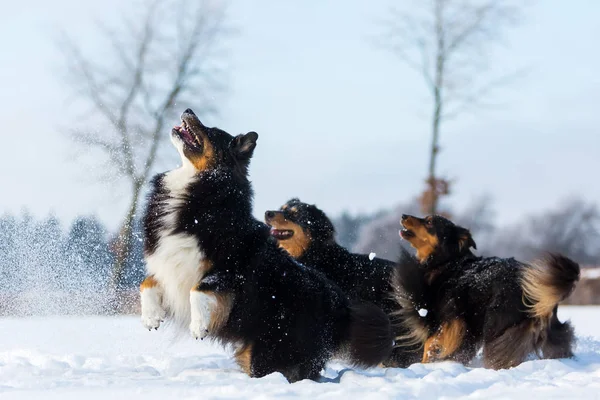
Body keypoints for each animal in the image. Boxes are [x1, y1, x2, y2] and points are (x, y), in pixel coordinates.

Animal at [139, 108, 394, 382]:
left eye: (212, 131)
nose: (188, 110)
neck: (202, 191)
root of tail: (342, 306)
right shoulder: (167, 263)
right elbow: (147, 282)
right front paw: (151, 317)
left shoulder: (229, 265)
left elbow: (199, 289)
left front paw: (199, 327)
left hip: (269, 352)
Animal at [392, 214, 580, 370]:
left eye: (429, 222)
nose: (403, 215)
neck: (447, 261)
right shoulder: (468, 327)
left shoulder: (451, 319)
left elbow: (430, 342)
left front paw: (425, 363)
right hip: (552, 333)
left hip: (495, 325)